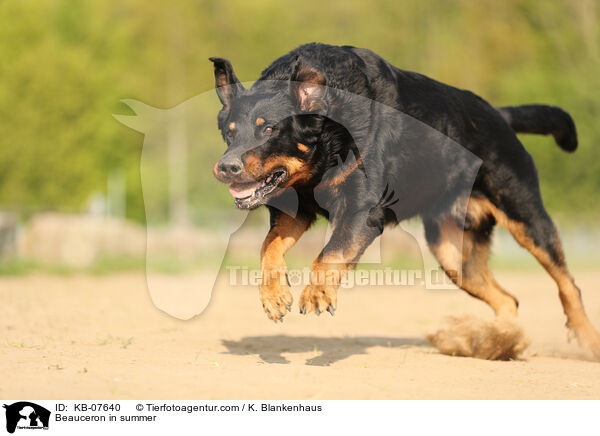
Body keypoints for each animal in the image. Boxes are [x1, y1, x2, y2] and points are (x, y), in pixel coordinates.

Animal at [209, 42, 596, 360]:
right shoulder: (296, 210)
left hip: (524, 214)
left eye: (269, 129)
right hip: (453, 254)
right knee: (508, 300)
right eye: (228, 132)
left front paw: (317, 293)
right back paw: (496, 341)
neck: (332, 135)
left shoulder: (363, 211)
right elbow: (269, 248)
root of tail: (500, 116)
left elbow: (330, 254)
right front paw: (273, 296)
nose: (225, 166)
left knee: (567, 284)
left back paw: (586, 340)